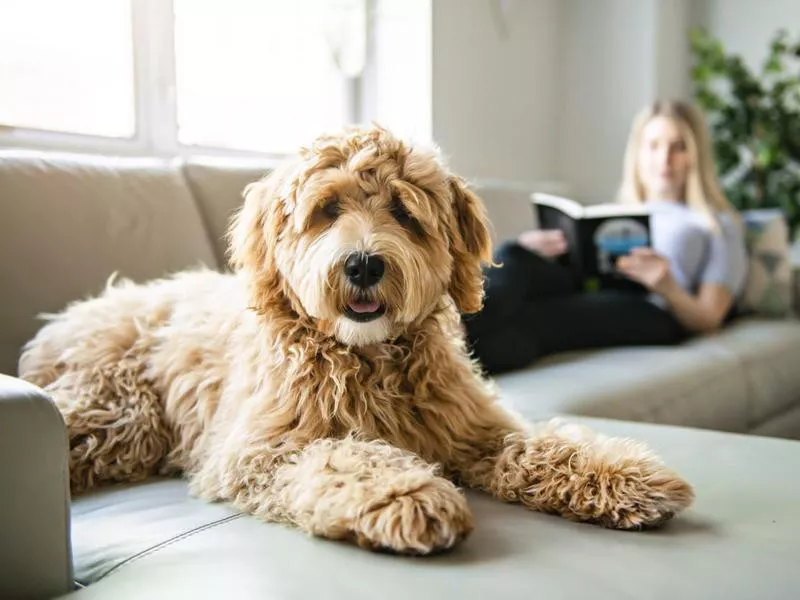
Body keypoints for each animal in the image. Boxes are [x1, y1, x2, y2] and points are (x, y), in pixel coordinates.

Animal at [18, 125, 692, 552]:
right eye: (327, 210)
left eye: (403, 212)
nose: (364, 265)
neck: (368, 358)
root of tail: (72, 314)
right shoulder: (259, 451)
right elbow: (344, 455)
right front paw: (406, 493)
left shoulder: (475, 428)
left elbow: (541, 445)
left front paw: (623, 474)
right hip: (120, 413)